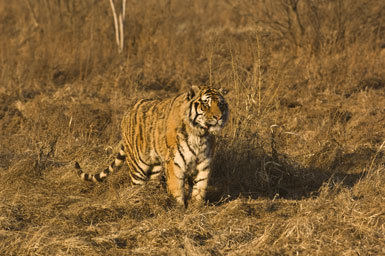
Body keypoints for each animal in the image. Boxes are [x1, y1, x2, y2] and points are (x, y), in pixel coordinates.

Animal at [74, 85, 228, 207]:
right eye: (206, 103)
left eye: (220, 104)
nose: (218, 117)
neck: (200, 134)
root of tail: (128, 112)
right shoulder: (175, 162)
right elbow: (177, 188)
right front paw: (179, 209)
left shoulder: (203, 163)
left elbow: (200, 189)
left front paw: (196, 209)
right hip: (138, 166)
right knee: (137, 187)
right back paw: (138, 205)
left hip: (155, 167)